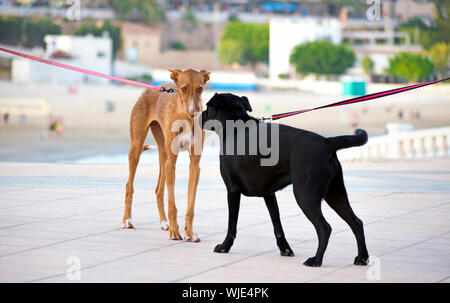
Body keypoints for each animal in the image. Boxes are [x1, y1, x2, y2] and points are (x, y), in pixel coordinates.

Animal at [121, 68, 209, 242]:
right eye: (183, 88)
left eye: (200, 89)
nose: (193, 112)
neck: (185, 119)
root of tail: (150, 89)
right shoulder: (172, 161)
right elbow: (172, 204)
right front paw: (175, 232)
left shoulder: (195, 165)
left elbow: (190, 206)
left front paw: (189, 233)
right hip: (137, 148)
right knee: (129, 185)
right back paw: (127, 220)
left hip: (163, 154)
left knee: (158, 190)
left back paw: (164, 222)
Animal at [200, 93, 370, 268]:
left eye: (207, 107)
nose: (199, 116)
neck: (235, 126)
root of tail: (327, 142)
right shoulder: (269, 194)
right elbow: (277, 225)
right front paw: (285, 249)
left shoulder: (232, 191)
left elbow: (231, 225)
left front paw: (224, 247)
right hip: (336, 195)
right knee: (357, 223)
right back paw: (362, 257)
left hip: (305, 196)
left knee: (325, 228)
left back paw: (316, 260)